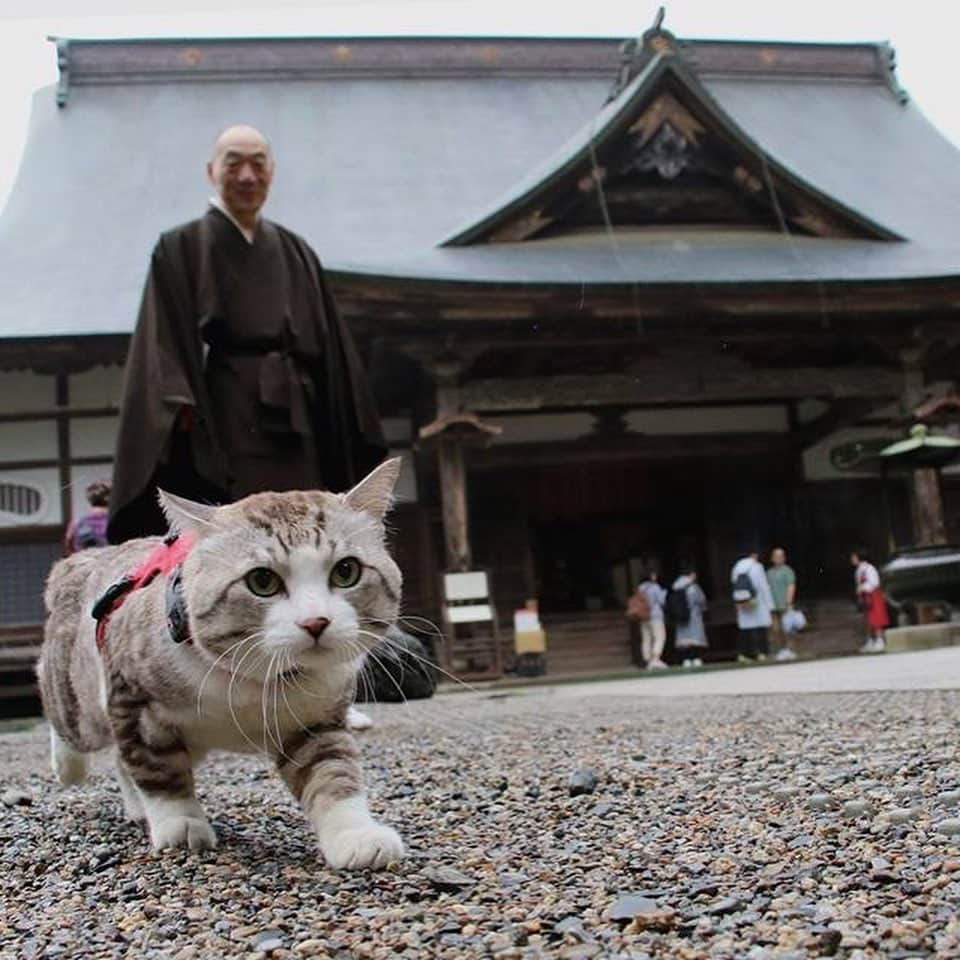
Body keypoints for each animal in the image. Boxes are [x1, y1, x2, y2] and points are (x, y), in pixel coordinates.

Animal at [37, 458, 404, 872]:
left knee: (120, 756)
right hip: (82, 697)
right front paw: (180, 824)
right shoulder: (134, 699)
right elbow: (158, 769)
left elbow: (333, 769)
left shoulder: (314, 717)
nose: (316, 622)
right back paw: (68, 765)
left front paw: (356, 835)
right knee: (69, 716)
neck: (254, 680)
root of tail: (85, 560)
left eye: (346, 571)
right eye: (262, 580)